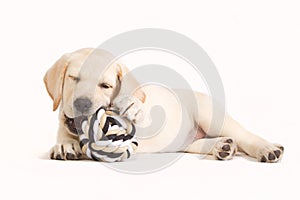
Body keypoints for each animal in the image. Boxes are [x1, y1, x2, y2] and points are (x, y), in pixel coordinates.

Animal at [44, 48, 284, 162]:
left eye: (105, 85)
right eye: (73, 78)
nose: (82, 103)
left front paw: (132, 106)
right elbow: (66, 138)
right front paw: (65, 146)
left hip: (210, 115)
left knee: (246, 136)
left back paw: (267, 148)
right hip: (188, 140)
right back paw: (222, 146)